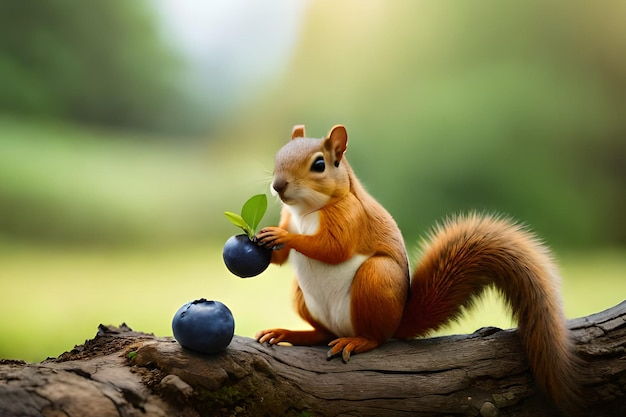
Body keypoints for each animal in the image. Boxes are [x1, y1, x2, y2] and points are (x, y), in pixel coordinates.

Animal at [252, 122, 580, 412]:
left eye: (319, 164)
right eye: (279, 155)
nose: (278, 186)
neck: (306, 211)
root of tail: (397, 319)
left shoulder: (351, 217)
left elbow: (333, 249)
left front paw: (284, 237)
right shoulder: (290, 216)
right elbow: (282, 258)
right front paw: (267, 236)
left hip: (376, 278)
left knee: (376, 337)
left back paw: (358, 341)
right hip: (303, 296)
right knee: (321, 333)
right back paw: (289, 334)